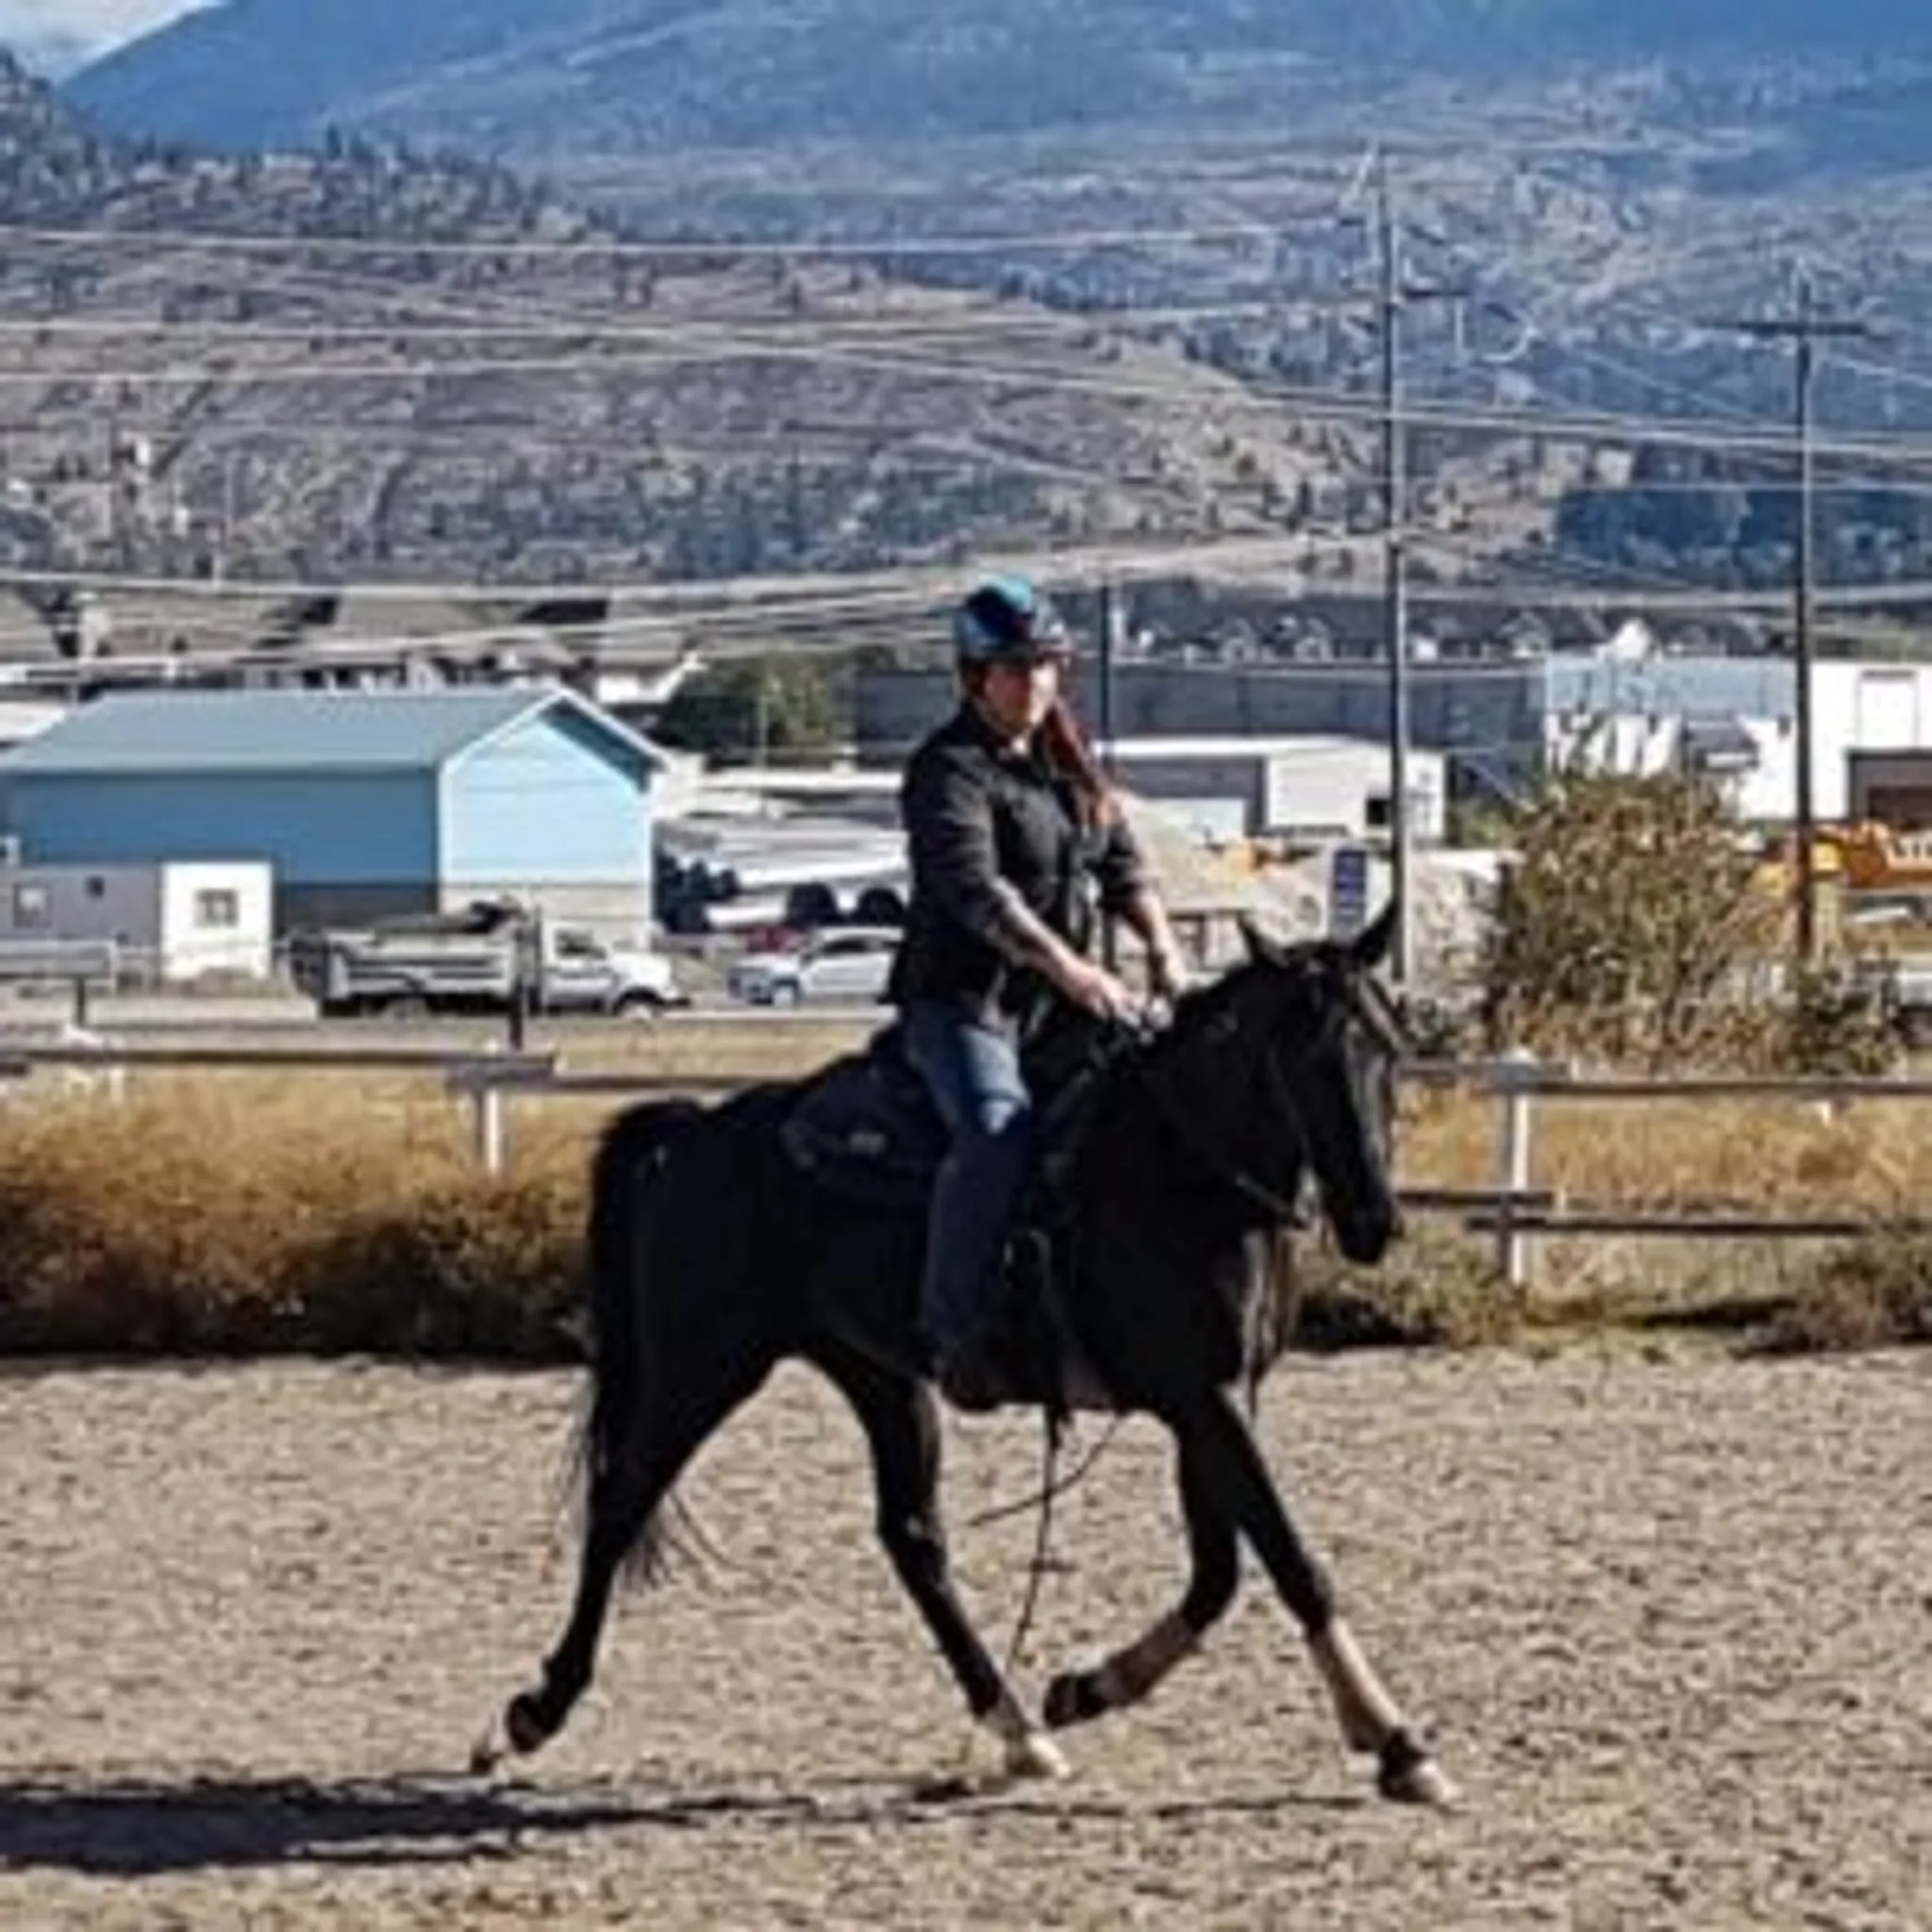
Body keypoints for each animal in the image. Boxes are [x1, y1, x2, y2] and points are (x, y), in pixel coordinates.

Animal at [475, 905, 1456, 1808]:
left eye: (1390, 1046)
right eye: (1307, 1057)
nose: (1375, 1220)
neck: (1179, 1171)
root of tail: (688, 1136)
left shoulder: (1211, 1399)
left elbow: (1218, 1573)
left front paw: (1086, 1689)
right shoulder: (1198, 1396)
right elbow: (1288, 1558)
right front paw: (1394, 1739)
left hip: (880, 1377)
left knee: (912, 1537)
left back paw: (1019, 1728)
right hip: (702, 1365)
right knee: (620, 1501)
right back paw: (528, 1714)